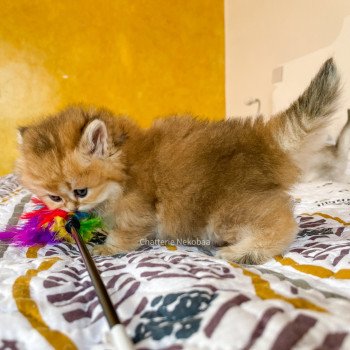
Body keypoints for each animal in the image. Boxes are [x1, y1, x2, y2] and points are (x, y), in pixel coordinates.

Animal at [15, 58, 340, 264]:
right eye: (54, 197)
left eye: (80, 191)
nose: (71, 211)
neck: (125, 164)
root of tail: (263, 138)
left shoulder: (139, 211)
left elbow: (126, 234)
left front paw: (107, 248)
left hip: (227, 210)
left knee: (282, 221)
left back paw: (244, 252)